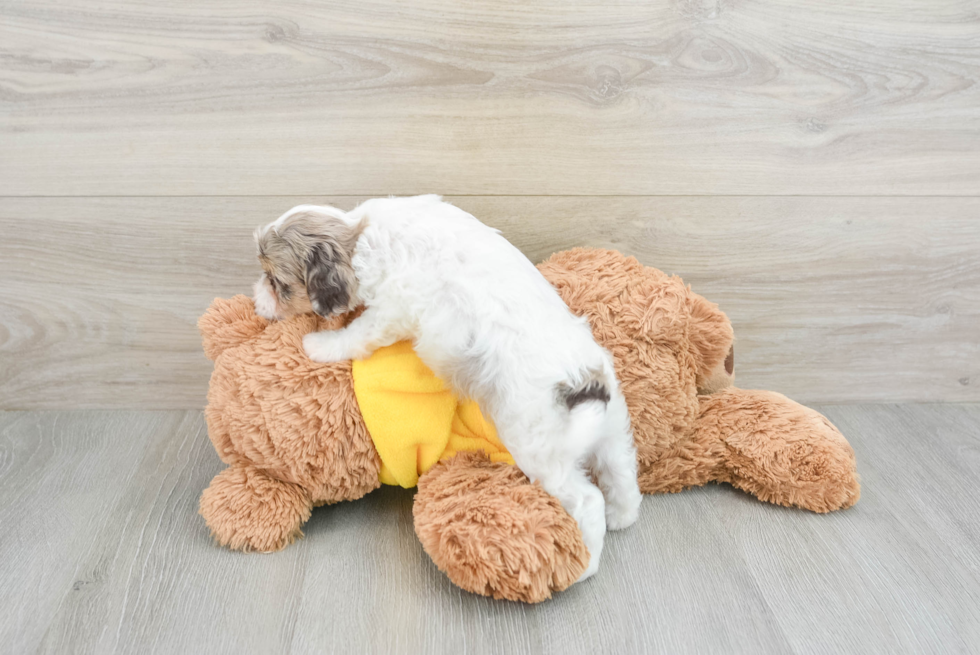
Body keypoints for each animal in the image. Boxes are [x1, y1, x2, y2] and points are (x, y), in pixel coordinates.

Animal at [255, 193, 644, 580]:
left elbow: (358, 334)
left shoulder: (391, 310)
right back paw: (622, 516)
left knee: (587, 499)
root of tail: (587, 385)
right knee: (621, 469)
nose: (257, 303)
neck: (361, 235)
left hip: (541, 452)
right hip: (612, 430)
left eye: (275, 280)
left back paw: (585, 564)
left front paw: (320, 345)